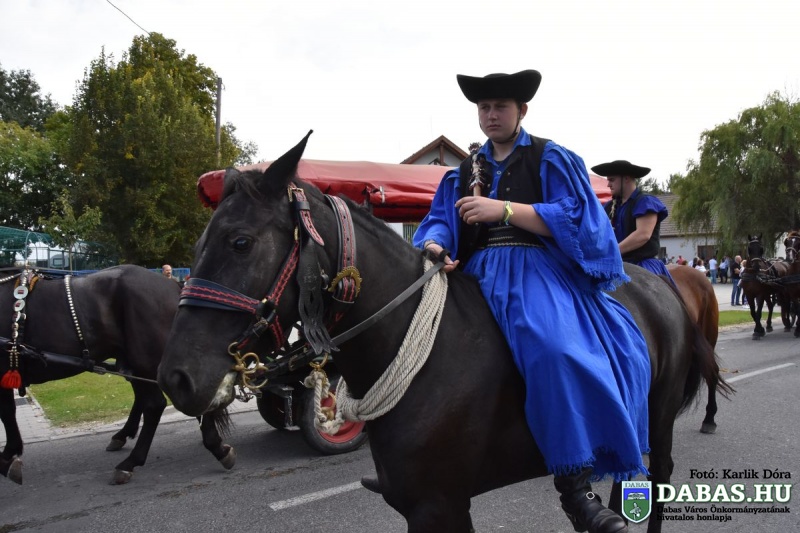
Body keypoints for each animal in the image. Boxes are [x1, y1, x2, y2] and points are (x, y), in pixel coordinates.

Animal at [0, 265, 236, 485]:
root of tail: (175, 285)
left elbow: (7, 413)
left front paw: (7, 457)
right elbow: (8, 413)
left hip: (150, 356)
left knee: (157, 404)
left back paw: (132, 461)